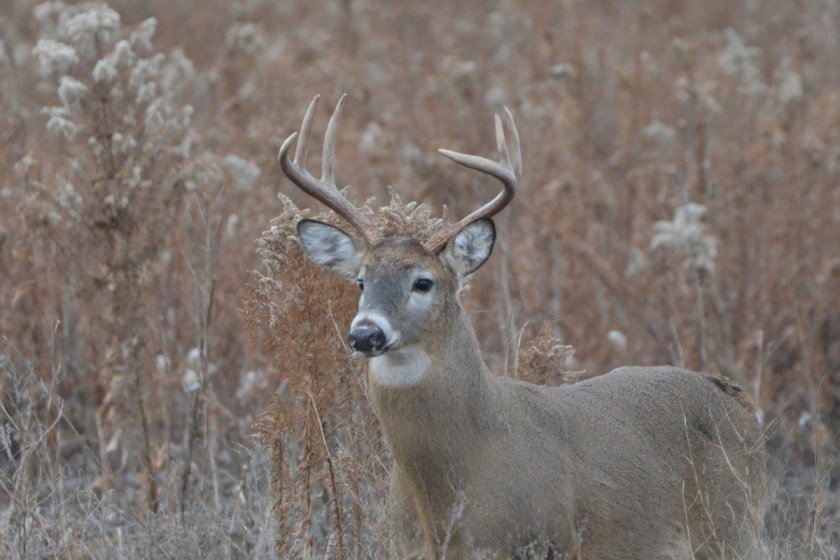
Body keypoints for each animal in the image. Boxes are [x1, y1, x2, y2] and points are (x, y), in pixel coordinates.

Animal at [276, 94, 768, 559]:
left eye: (423, 282)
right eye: (362, 280)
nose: (365, 333)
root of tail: (737, 399)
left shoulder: (545, 538)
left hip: (734, 527)